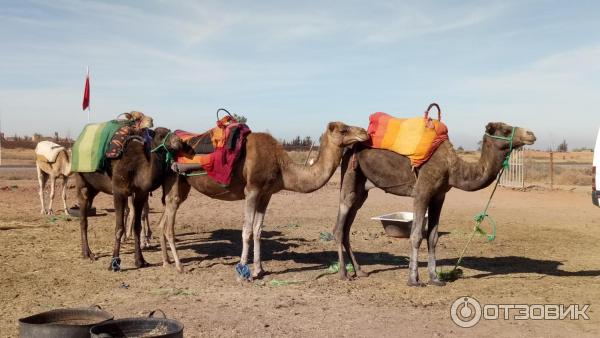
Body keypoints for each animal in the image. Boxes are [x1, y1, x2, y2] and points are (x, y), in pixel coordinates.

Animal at [77, 127, 185, 270]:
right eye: (161, 135)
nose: (180, 141)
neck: (138, 167)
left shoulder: (141, 193)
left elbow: (137, 227)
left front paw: (140, 261)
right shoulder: (118, 191)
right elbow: (119, 228)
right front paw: (114, 263)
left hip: (94, 187)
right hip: (81, 180)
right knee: (83, 217)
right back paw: (87, 253)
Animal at [157, 121, 368, 274]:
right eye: (343, 129)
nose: (364, 132)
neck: (281, 166)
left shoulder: (266, 194)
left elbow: (258, 230)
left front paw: (259, 269)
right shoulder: (252, 190)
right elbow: (246, 231)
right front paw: (243, 271)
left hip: (182, 185)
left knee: (163, 220)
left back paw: (167, 262)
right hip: (175, 180)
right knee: (168, 225)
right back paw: (179, 266)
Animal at [332, 121, 540, 286]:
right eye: (505, 130)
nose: (531, 134)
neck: (452, 167)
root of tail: (349, 148)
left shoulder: (439, 196)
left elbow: (432, 237)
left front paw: (435, 278)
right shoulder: (422, 192)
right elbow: (416, 236)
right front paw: (413, 279)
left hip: (362, 189)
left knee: (347, 226)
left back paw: (359, 271)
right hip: (350, 174)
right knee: (339, 226)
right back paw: (343, 274)